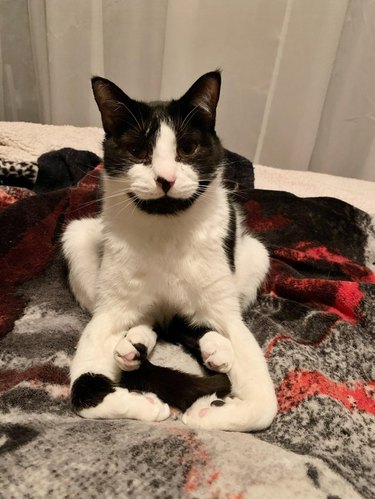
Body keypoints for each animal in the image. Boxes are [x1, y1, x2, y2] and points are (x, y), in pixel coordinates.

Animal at [62, 70, 280, 434]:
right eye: (137, 150)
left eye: (187, 149)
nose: (165, 179)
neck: (166, 230)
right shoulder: (108, 314)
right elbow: (83, 391)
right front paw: (148, 404)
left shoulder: (227, 312)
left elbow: (265, 406)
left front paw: (207, 413)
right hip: (77, 237)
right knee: (152, 322)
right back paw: (135, 345)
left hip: (255, 255)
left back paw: (213, 348)